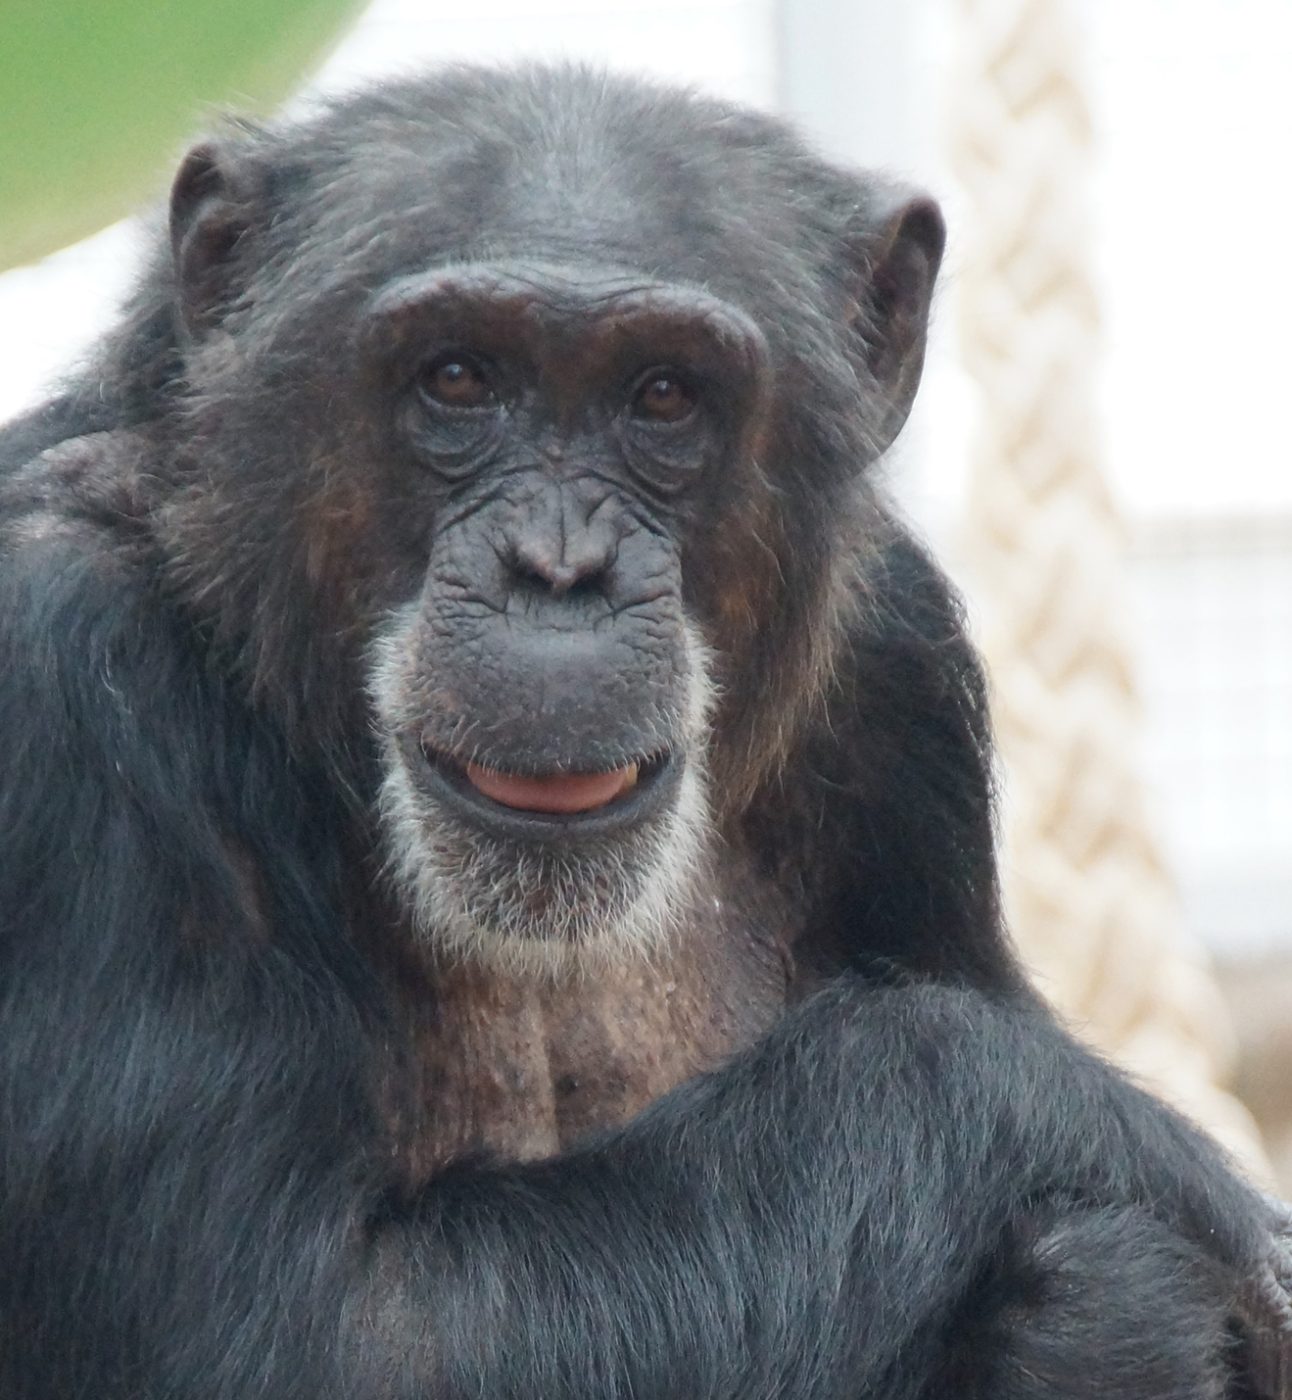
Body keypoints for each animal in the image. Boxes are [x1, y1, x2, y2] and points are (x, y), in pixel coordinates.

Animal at [0, 63, 1287, 1400]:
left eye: (663, 394)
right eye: (456, 378)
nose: (558, 566)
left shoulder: (900, 673)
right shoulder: (59, 661)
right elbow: (310, 1326)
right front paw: (1122, 1138)